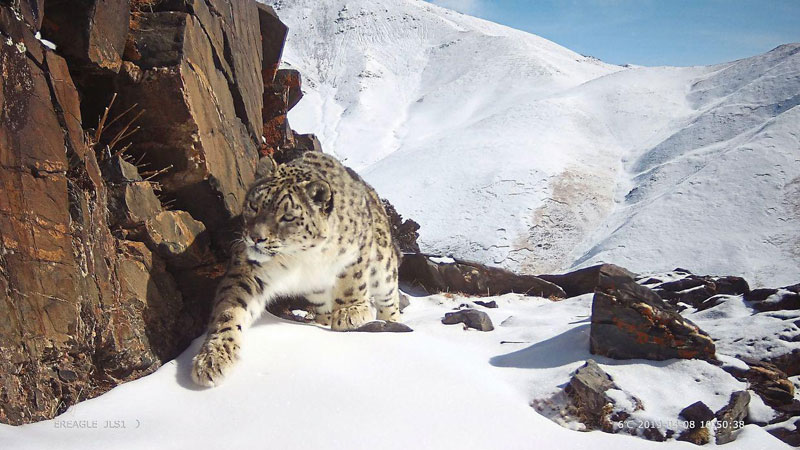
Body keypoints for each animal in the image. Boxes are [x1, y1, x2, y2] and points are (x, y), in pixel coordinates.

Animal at [191, 152, 404, 386]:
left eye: (288, 217)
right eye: (254, 206)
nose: (256, 238)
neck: (302, 258)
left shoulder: (357, 251)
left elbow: (352, 282)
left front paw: (350, 312)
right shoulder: (248, 271)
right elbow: (229, 310)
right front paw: (213, 357)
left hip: (384, 268)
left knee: (389, 298)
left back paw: (390, 321)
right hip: (316, 293)